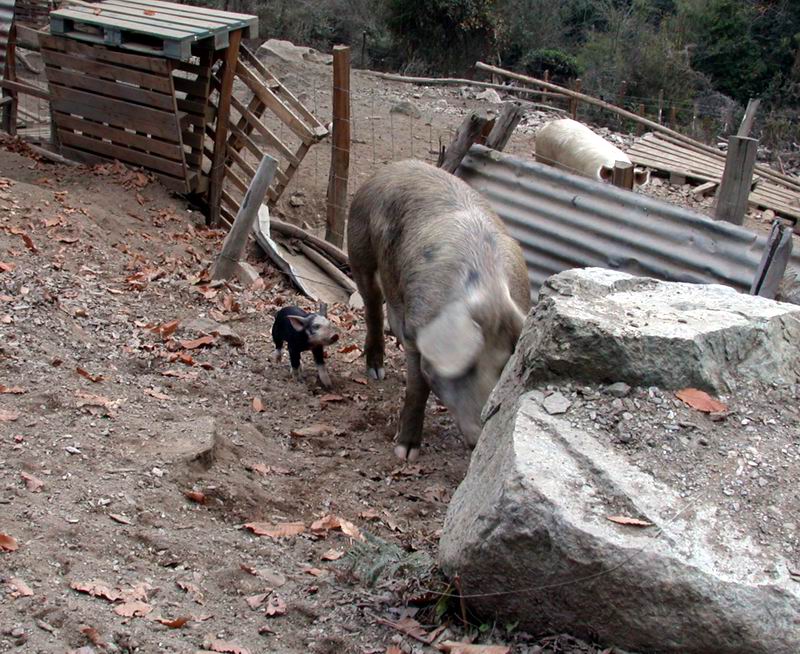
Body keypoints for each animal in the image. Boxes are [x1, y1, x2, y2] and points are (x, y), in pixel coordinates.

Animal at [348, 160, 532, 462]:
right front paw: (406, 452)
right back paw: (375, 371)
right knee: (373, 304)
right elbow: (418, 387)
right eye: (466, 367)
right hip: (359, 243)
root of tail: (397, 166)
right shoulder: (418, 330)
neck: (488, 298)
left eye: (502, 369)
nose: (478, 438)